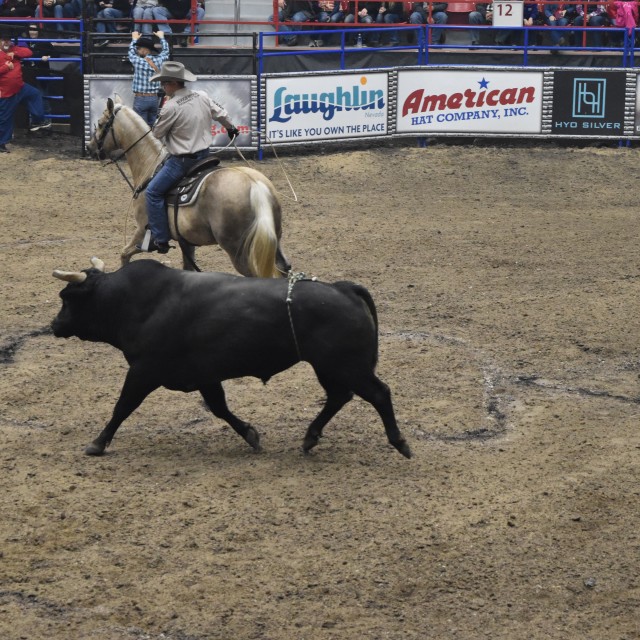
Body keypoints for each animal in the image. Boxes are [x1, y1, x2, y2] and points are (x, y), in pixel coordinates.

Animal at [51, 258, 412, 459]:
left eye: (67, 298)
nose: (54, 325)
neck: (137, 301)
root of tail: (343, 288)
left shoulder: (143, 371)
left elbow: (123, 406)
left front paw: (98, 443)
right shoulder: (205, 376)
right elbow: (219, 408)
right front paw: (250, 434)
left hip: (348, 366)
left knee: (378, 394)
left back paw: (399, 442)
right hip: (330, 368)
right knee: (339, 397)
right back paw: (310, 437)